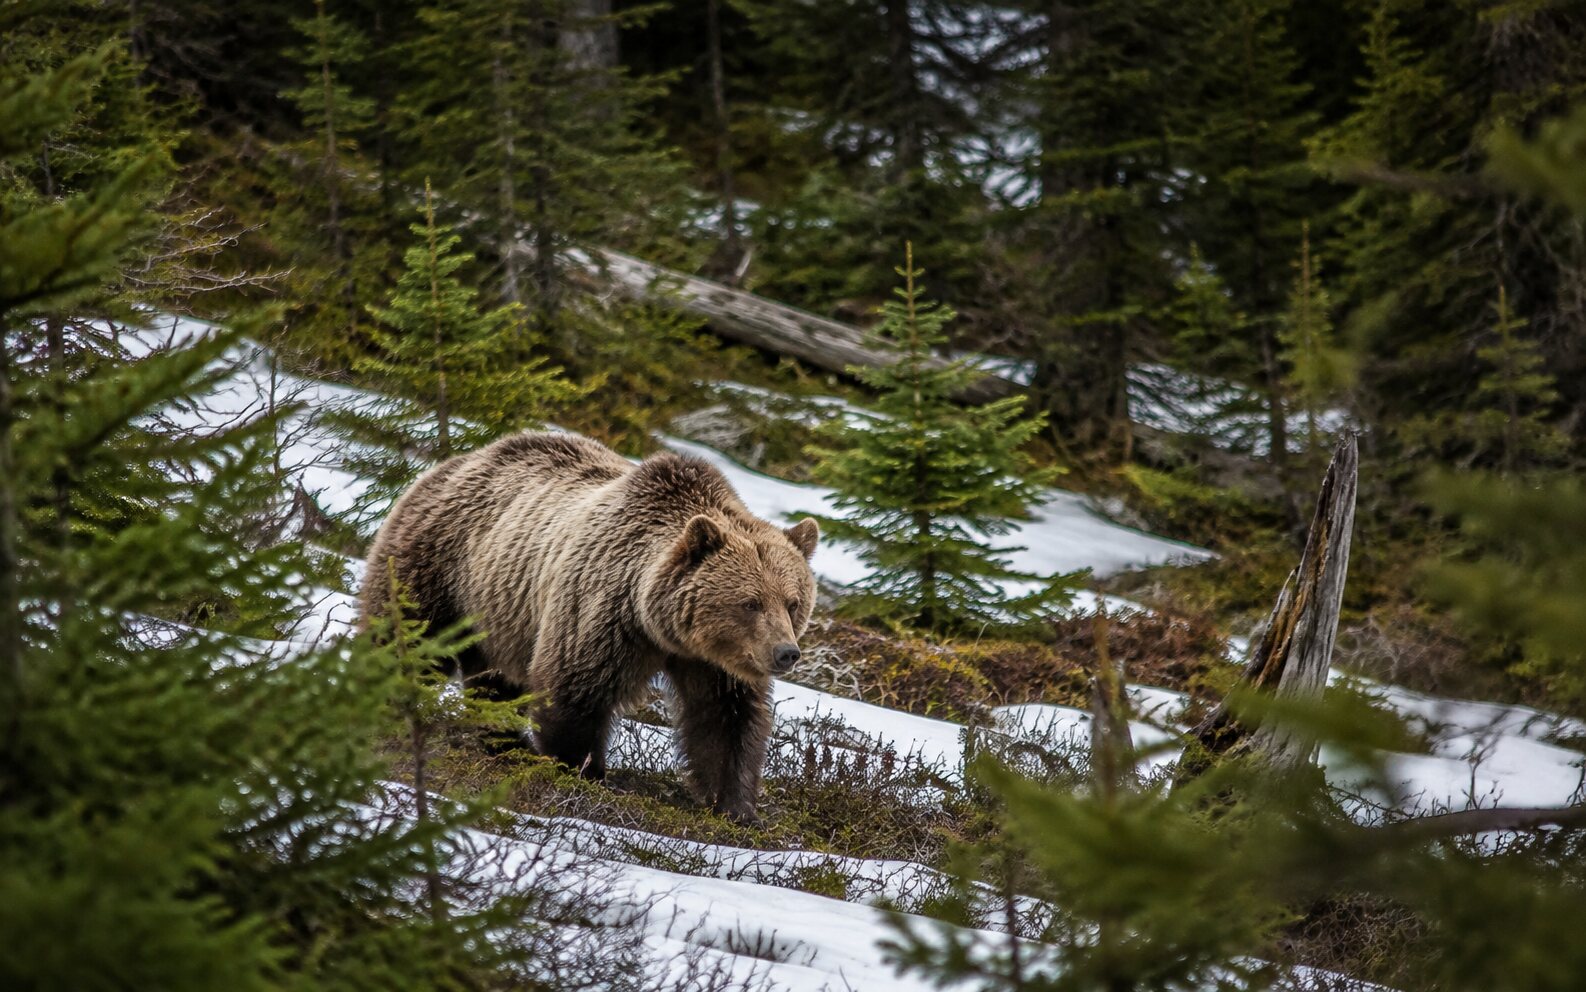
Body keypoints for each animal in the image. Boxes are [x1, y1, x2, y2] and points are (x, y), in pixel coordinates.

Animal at [358, 430, 820, 821]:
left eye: (793, 602)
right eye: (750, 602)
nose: (786, 653)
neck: (661, 627)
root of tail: (454, 461)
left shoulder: (716, 661)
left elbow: (726, 719)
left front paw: (737, 806)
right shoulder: (603, 610)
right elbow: (574, 688)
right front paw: (585, 771)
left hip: (501, 606)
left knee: (496, 678)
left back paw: (501, 739)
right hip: (438, 563)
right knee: (409, 637)